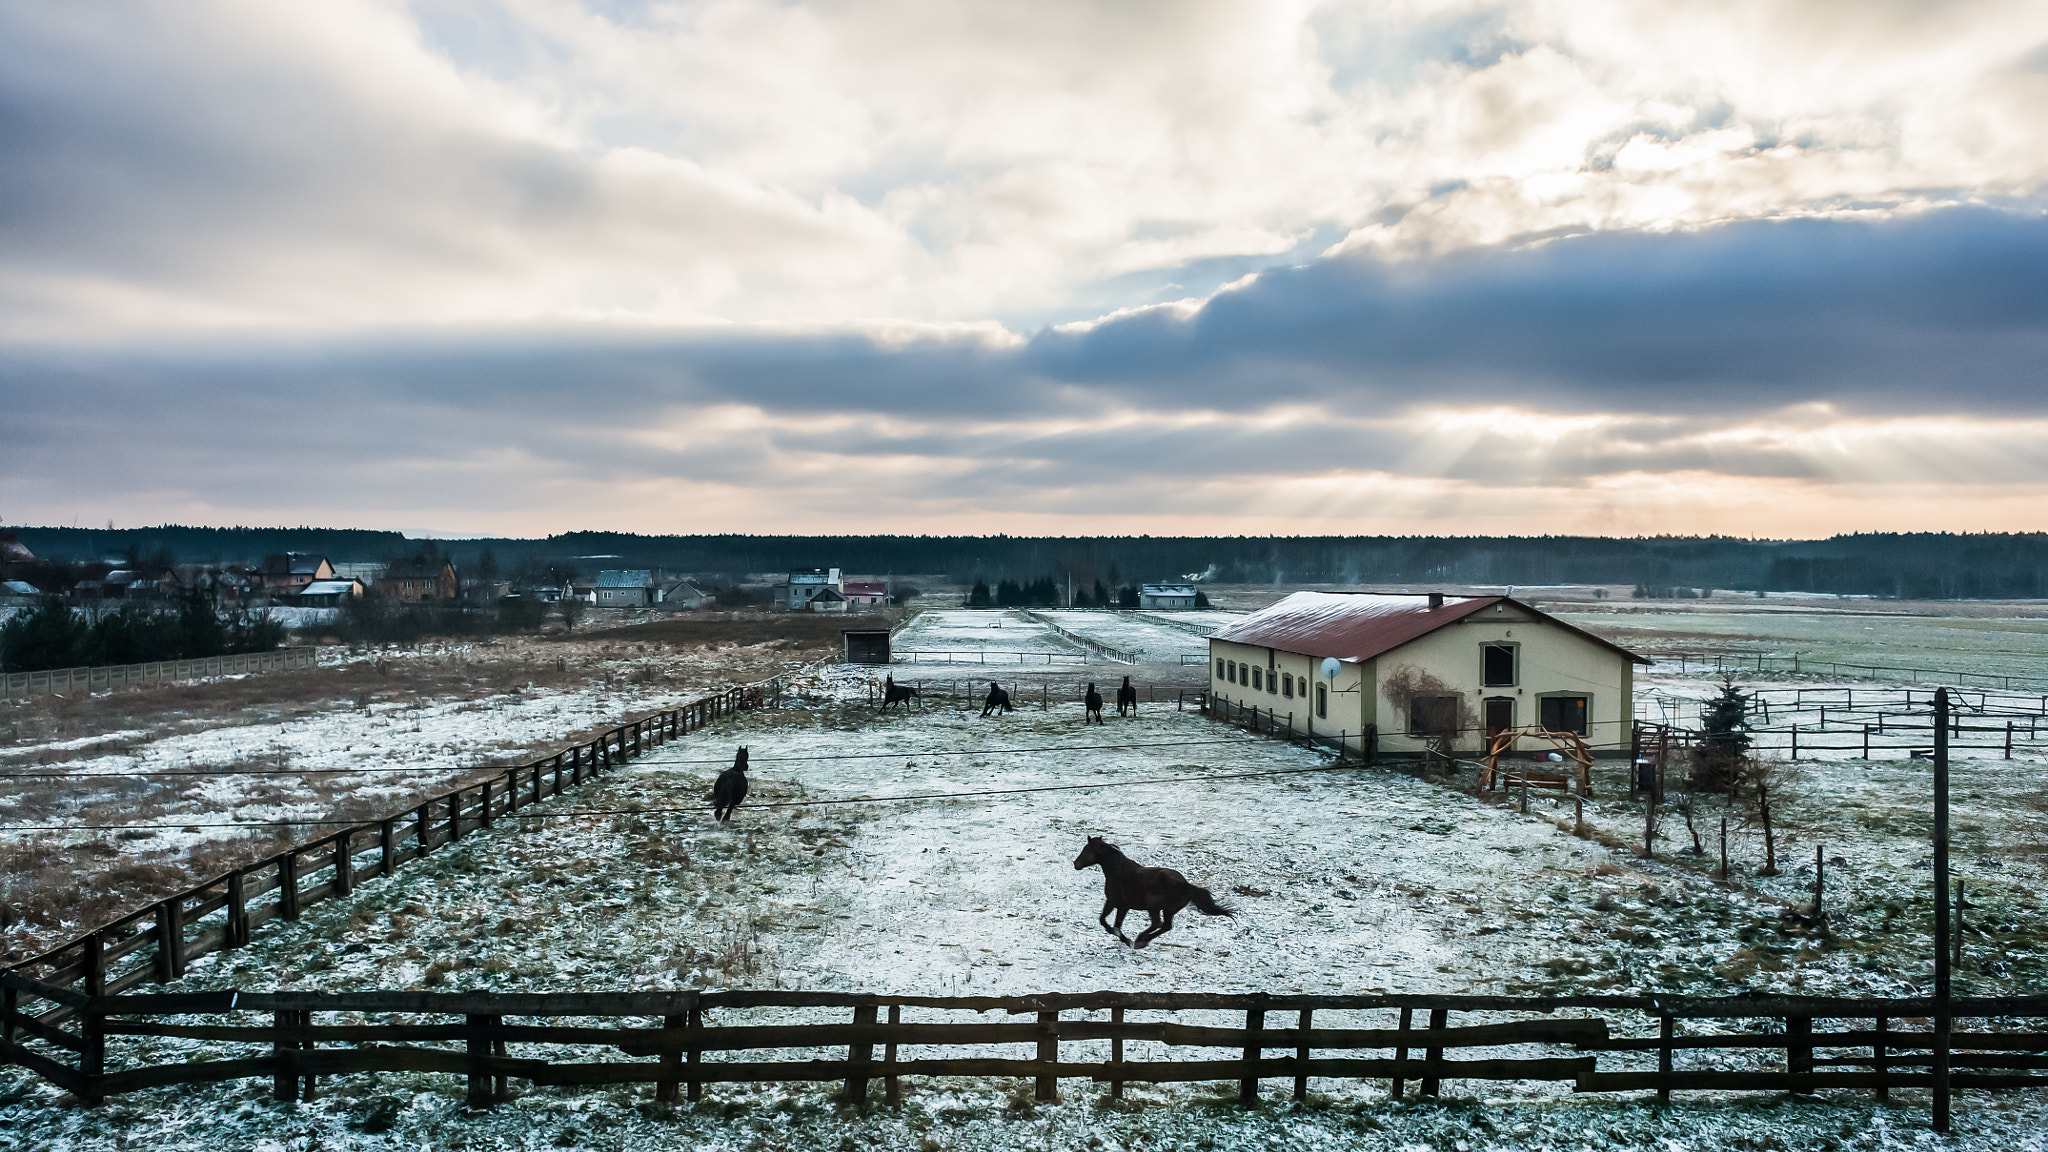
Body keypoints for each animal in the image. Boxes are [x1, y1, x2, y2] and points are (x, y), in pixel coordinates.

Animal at [1072, 836, 1233, 948]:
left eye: (1087, 850)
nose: (1076, 864)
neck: (1118, 872)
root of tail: (1188, 886)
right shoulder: (1111, 902)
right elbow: (1103, 921)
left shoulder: (1122, 906)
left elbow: (1115, 925)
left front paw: (1126, 940)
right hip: (1168, 910)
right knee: (1165, 926)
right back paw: (1142, 940)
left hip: (1155, 907)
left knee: (1158, 923)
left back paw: (1140, 940)